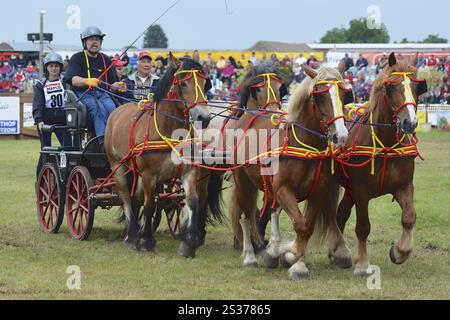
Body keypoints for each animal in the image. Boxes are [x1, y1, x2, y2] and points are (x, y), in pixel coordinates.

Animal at [104, 53, 214, 258]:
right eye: (183, 83)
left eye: (205, 83)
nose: (204, 117)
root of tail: (117, 110)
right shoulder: (149, 175)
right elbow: (150, 205)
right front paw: (145, 241)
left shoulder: (188, 171)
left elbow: (192, 201)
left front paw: (188, 244)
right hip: (117, 166)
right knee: (125, 197)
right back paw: (132, 233)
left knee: (136, 198)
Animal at [336, 52, 428, 276]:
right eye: (391, 87)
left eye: (417, 87)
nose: (410, 122)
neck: (384, 144)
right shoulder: (360, 191)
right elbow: (363, 227)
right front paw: (362, 264)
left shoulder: (404, 186)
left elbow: (409, 217)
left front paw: (399, 251)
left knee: (340, 214)